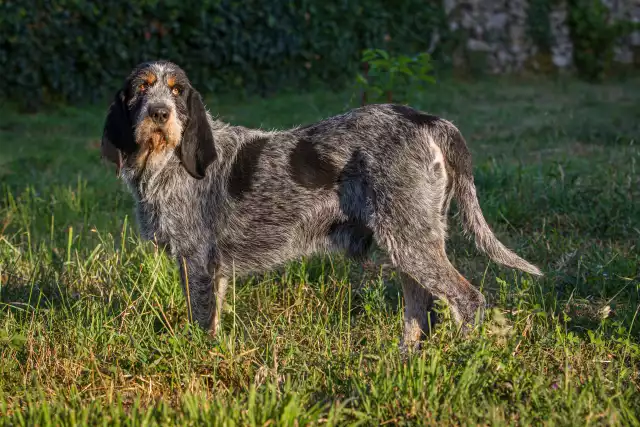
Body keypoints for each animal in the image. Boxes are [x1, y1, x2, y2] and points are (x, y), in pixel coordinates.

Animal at [99, 59, 540, 348]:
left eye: (176, 91)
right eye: (142, 88)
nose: (160, 113)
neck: (165, 162)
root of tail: (426, 119)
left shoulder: (197, 261)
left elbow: (202, 322)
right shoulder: (213, 269)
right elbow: (215, 317)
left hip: (411, 241)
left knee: (467, 300)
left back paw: (462, 361)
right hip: (410, 241)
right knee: (420, 308)